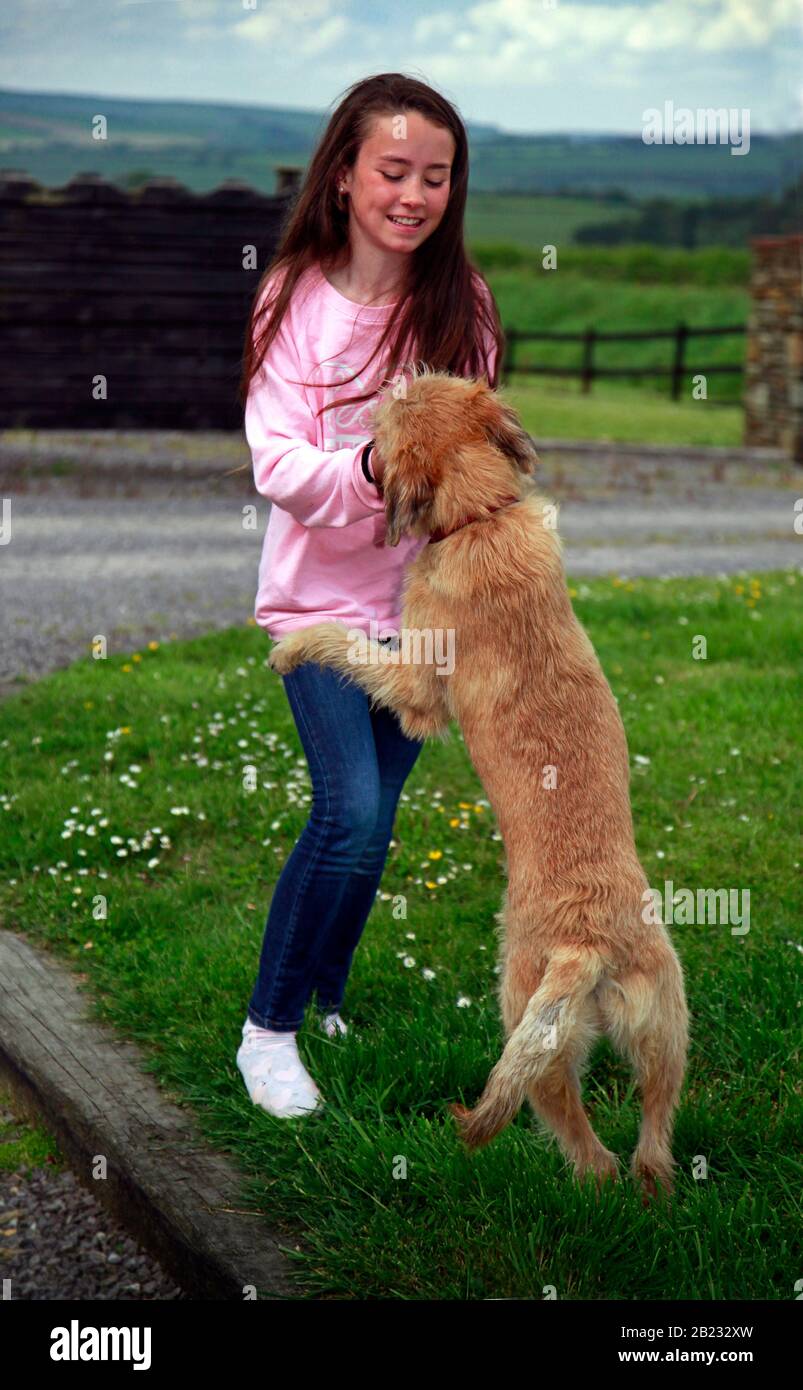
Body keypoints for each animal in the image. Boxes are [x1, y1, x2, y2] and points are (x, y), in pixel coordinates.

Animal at [269, 364, 689, 1200]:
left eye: (393, 410)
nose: (395, 374)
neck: (480, 518)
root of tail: (585, 945)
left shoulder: (414, 684)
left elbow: (348, 643)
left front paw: (295, 643)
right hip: (664, 1024)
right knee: (651, 1136)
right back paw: (652, 1185)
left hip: (532, 1025)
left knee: (583, 1146)